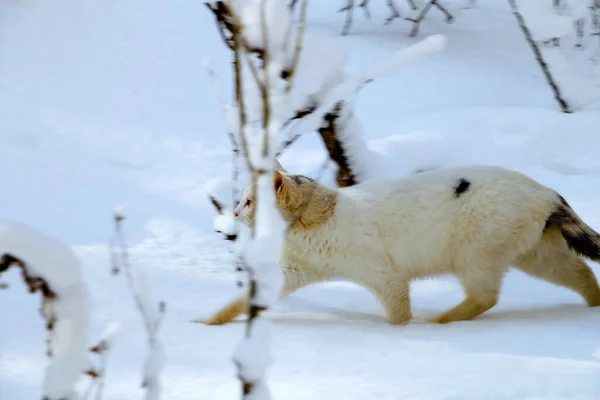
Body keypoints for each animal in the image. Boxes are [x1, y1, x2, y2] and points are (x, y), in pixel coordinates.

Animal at [197, 164, 600, 326]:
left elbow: (398, 313)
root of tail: (545, 192)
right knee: (581, 272)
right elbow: (241, 300)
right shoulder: (292, 270)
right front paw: (205, 321)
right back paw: (594, 306)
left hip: (476, 253)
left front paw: (403, 333)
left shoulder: (385, 275)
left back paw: (439, 321)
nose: (235, 211)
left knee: (485, 296)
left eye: (248, 201)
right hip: (537, 253)